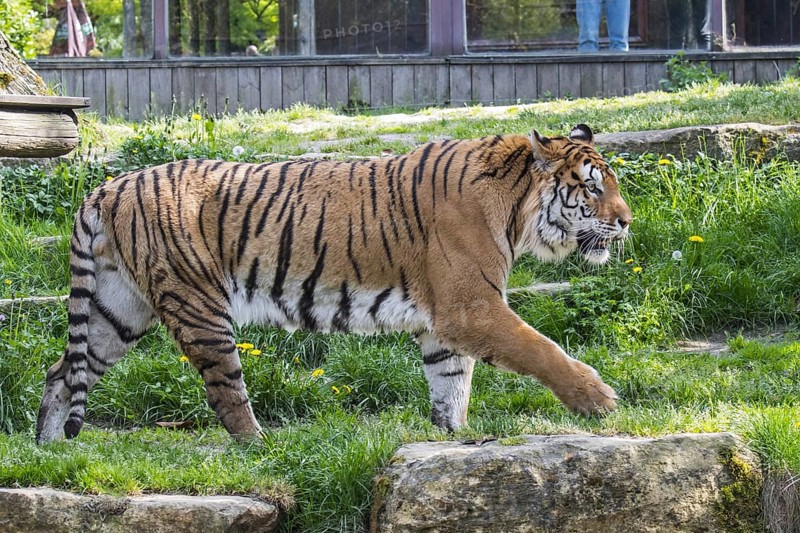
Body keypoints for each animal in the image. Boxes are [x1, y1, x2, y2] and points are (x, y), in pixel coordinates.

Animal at [36, 124, 631, 444]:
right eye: (592, 188)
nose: (627, 221)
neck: (515, 210)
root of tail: (106, 188)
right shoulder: (470, 307)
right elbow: (540, 348)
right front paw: (600, 400)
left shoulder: (445, 323)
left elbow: (451, 385)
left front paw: (453, 438)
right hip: (197, 305)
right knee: (225, 391)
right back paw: (262, 448)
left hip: (118, 309)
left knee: (63, 371)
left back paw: (48, 449)